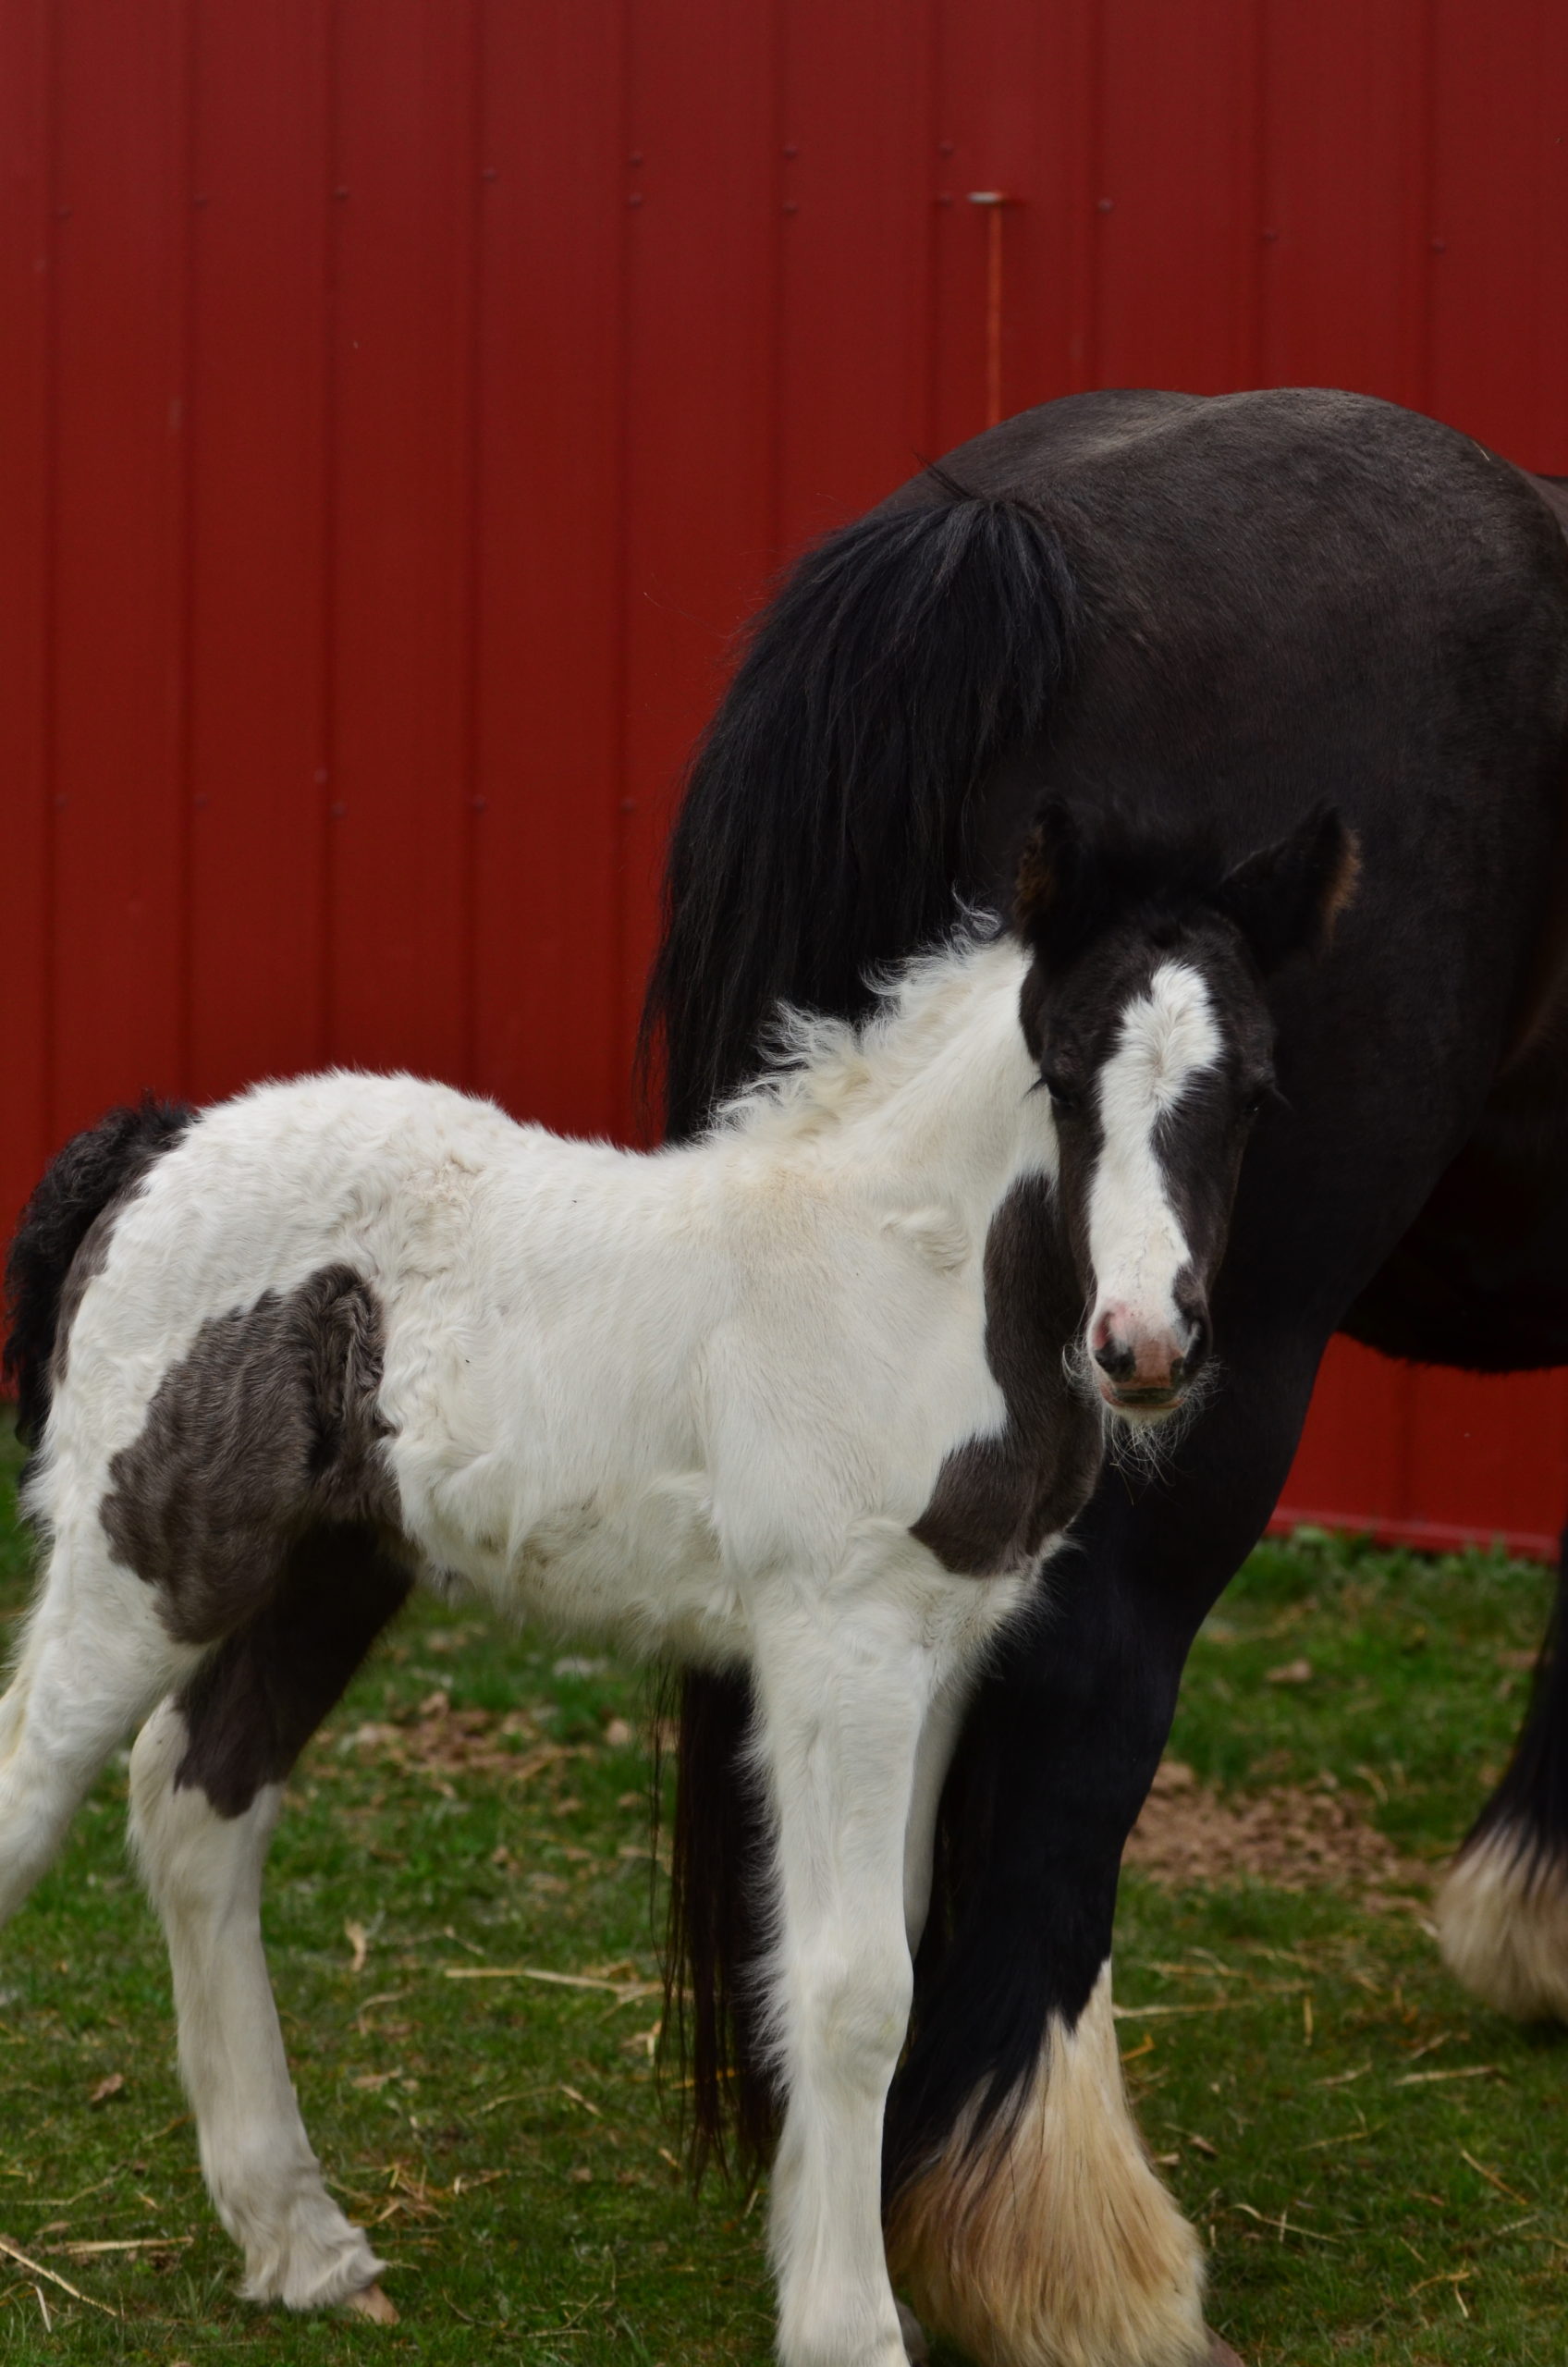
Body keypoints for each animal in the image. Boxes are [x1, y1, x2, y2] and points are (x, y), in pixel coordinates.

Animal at [0, 804, 1354, 2357]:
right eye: (1063, 1074)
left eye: (1253, 1089)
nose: (1143, 1342)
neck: (909, 1282)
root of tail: (158, 1141)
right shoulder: (840, 1644)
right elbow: (853, 1988)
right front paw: (852, 2327)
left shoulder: (938, 1658)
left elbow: (870, 1947)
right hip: (148, 1559)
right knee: (35, 1791)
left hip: (330, 1568)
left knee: (195, 1800)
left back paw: (302, 2242)